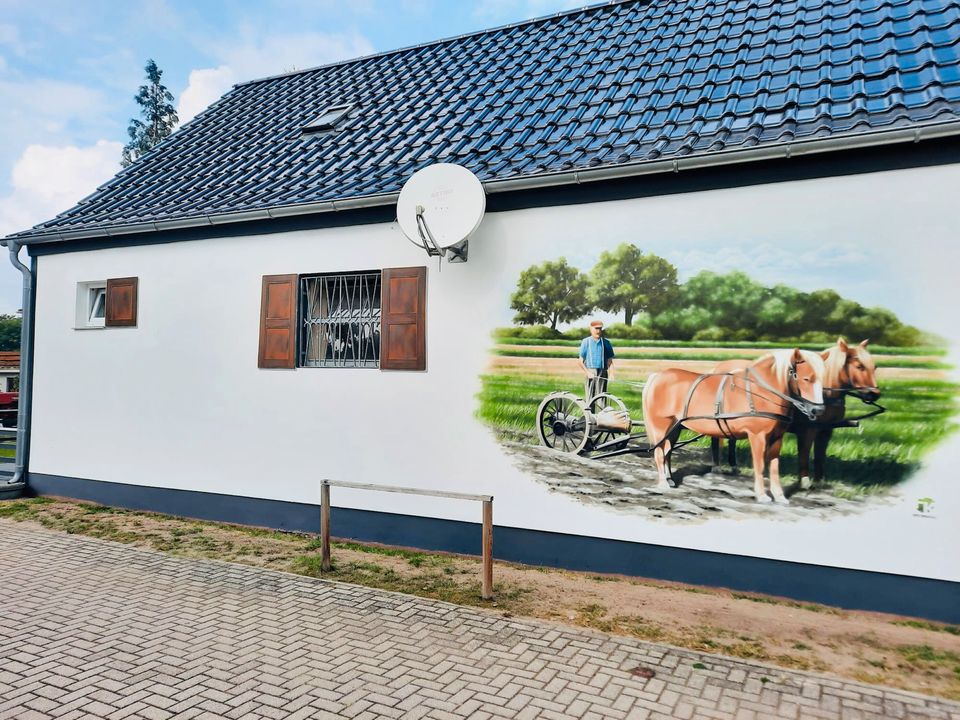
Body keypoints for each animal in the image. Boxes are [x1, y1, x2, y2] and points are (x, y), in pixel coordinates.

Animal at [636, 348, 824, 504]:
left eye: (821, 379)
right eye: (806, 378)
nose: (818, 410)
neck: (759, 392)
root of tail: (657, 376)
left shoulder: (777, 438)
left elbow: (774, 467)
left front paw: (779, 496)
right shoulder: (757, 436)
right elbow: (760, 465)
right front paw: (762, 496)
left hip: (674, 428)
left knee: (667, 452)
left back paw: (669, 479)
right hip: (661, 427)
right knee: (659, 453)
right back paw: (663, 483)